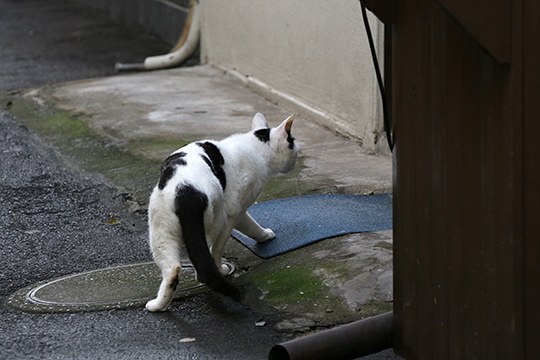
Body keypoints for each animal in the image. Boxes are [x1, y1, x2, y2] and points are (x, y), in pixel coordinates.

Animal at [146, 113, 298, 312]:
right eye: (293, 143)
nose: (298, 155)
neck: (255, 147)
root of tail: (186, 190)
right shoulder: (235, 211)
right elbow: (243, 231)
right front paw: (265, 236)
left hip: (160, 230)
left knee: (173, 269)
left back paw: (157, 305)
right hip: (215, 218)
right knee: (207, 258)